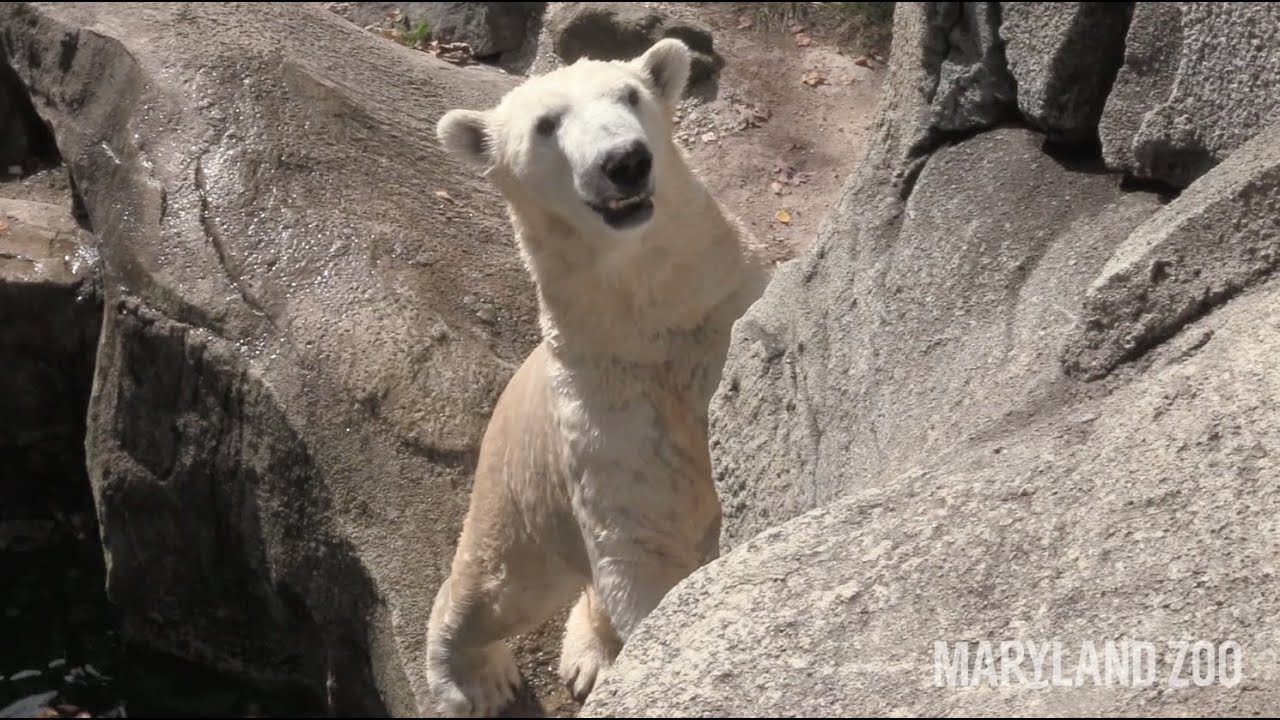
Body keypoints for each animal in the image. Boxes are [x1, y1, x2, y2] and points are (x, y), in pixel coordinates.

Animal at [427, 38, 772, 716]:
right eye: (545, 124)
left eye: (631, 95)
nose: (626, 162)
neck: (653, 321)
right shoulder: (599, 394)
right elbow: (639, 538)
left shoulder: (727, 312)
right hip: (523, 481)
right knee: (500, 582)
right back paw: (474, 678)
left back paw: (587, 654)